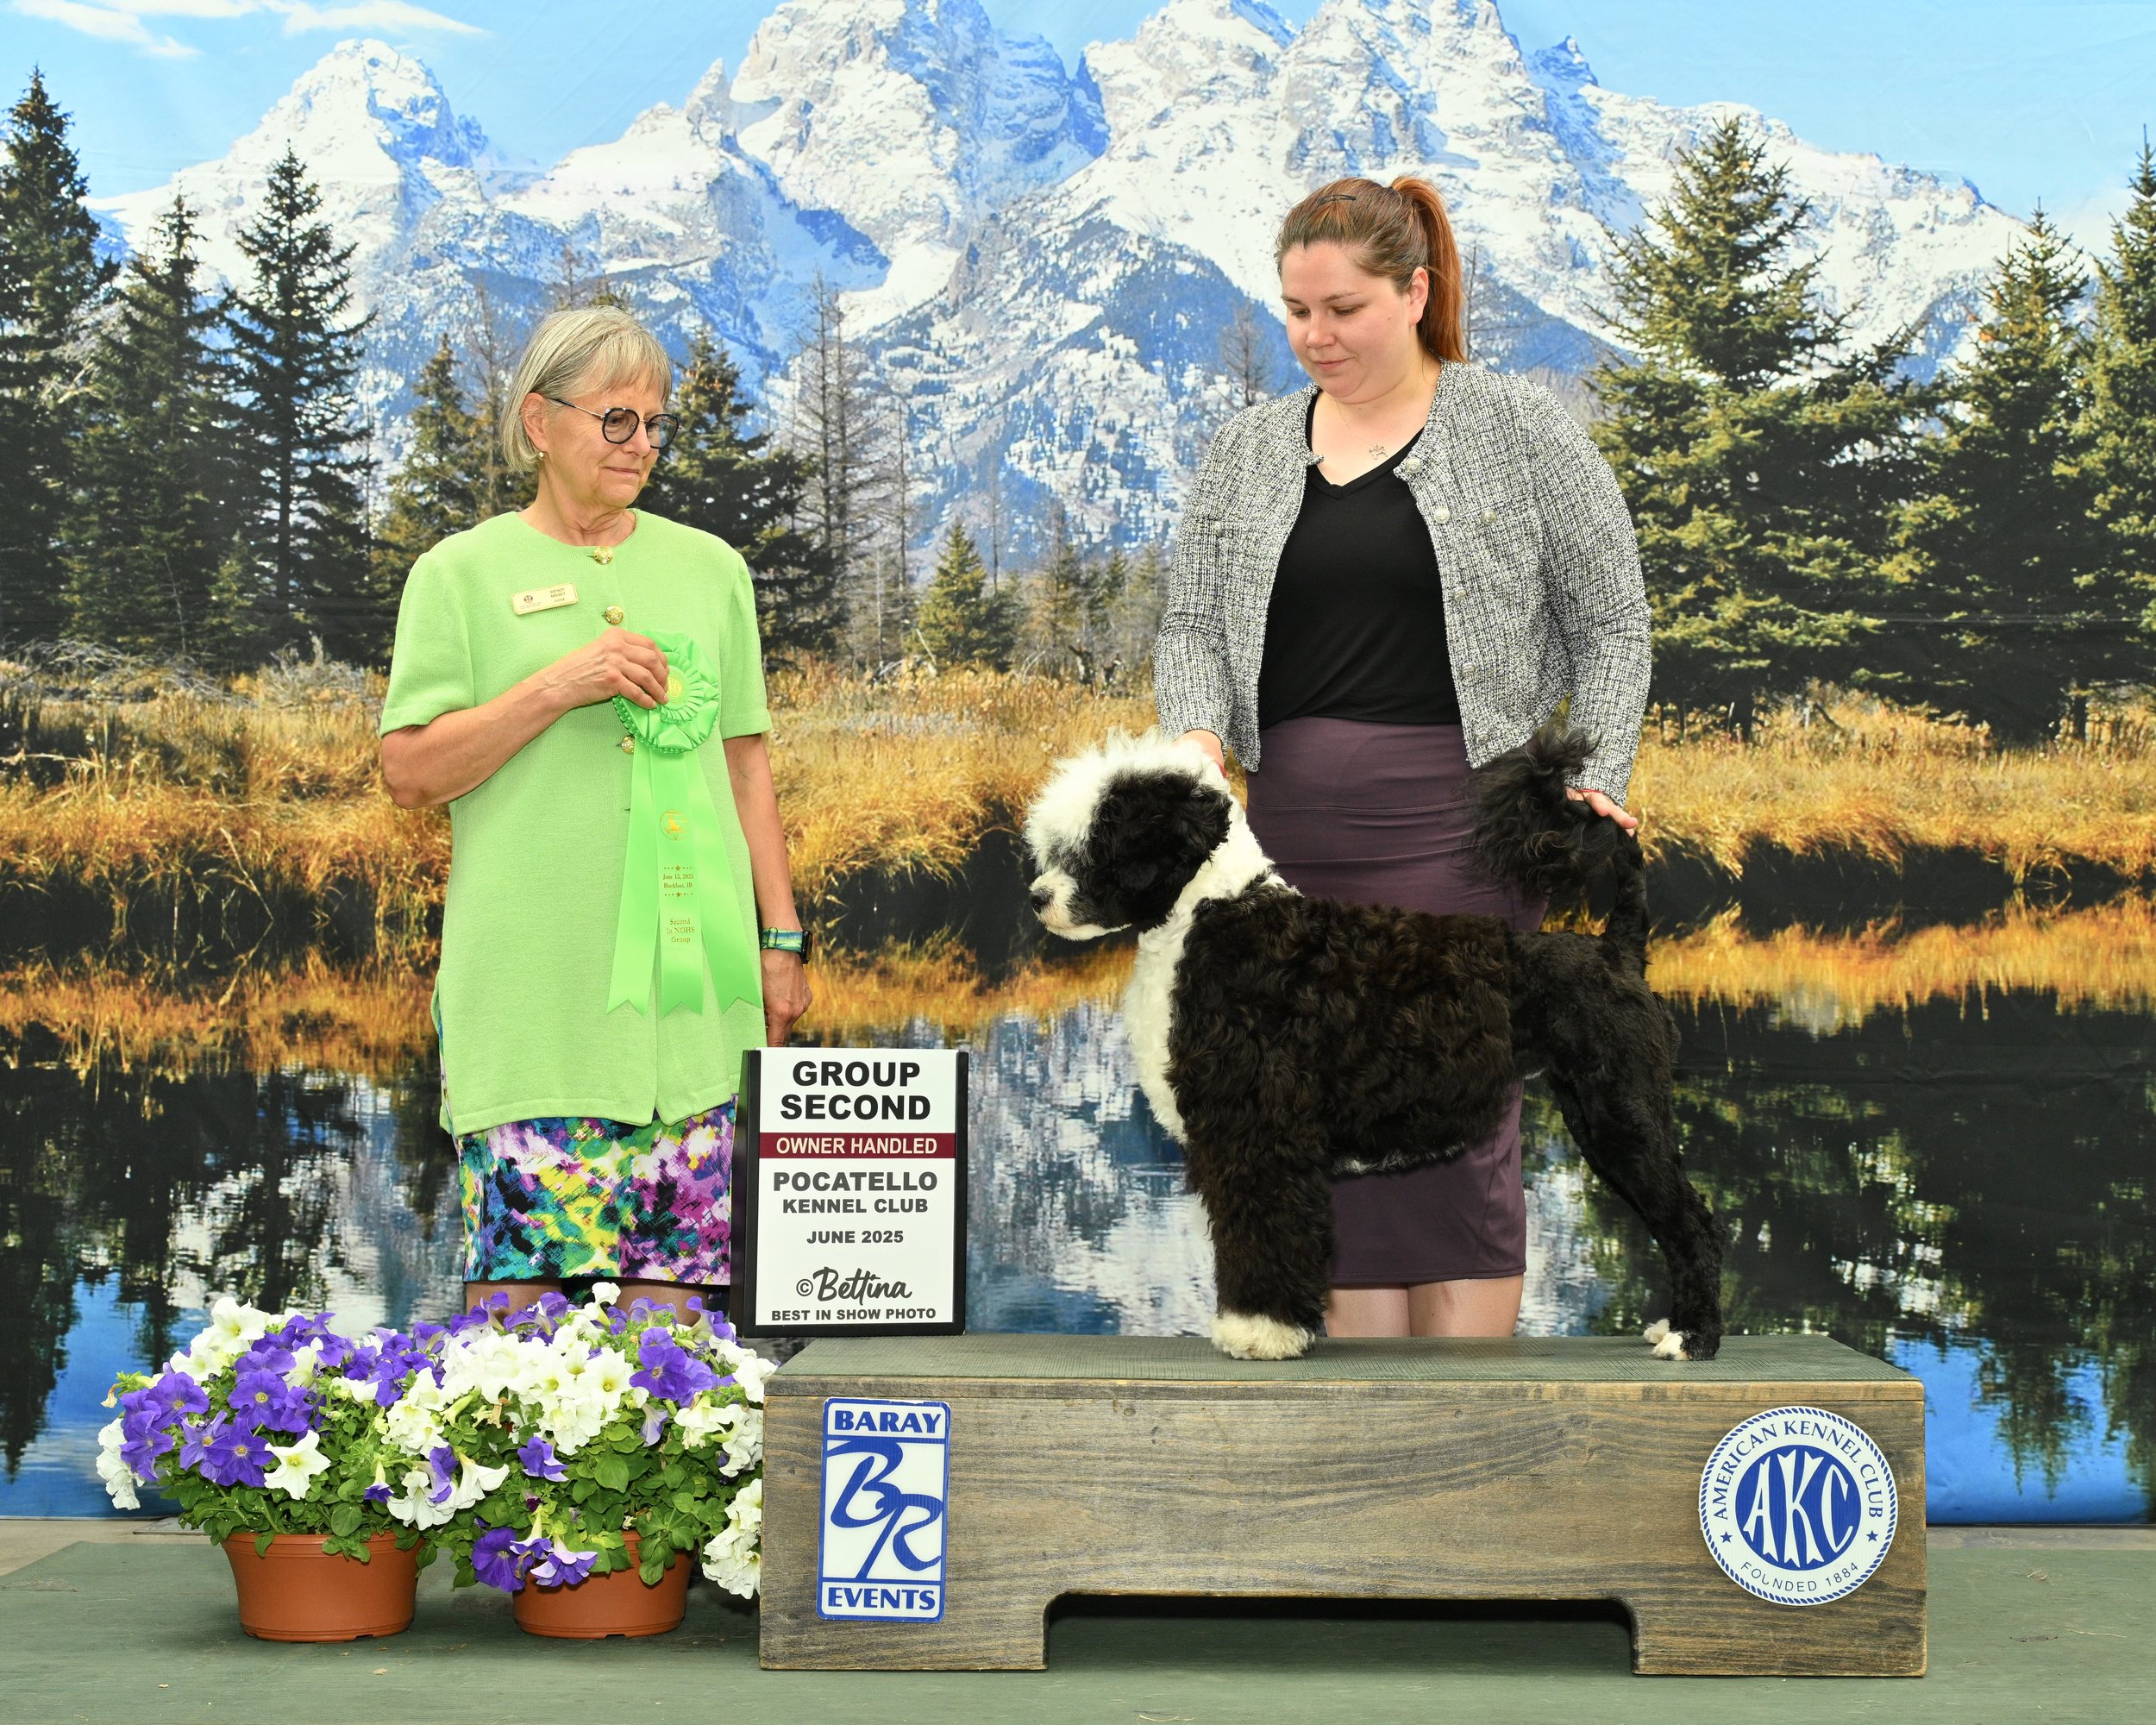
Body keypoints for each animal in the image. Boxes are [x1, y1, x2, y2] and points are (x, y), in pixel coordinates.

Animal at [1022, 724, 1724, 1364]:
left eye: (1102, 840)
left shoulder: (1259, 1131)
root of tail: (1617, 950)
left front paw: (1261, 1330)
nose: (1037, 898)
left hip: (1622, 1116)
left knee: (1693, 1222)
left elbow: (1264, 1228)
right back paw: (1674, 1327)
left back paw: (1693, 1338)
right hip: (1599, 1117)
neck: (1217, 916)